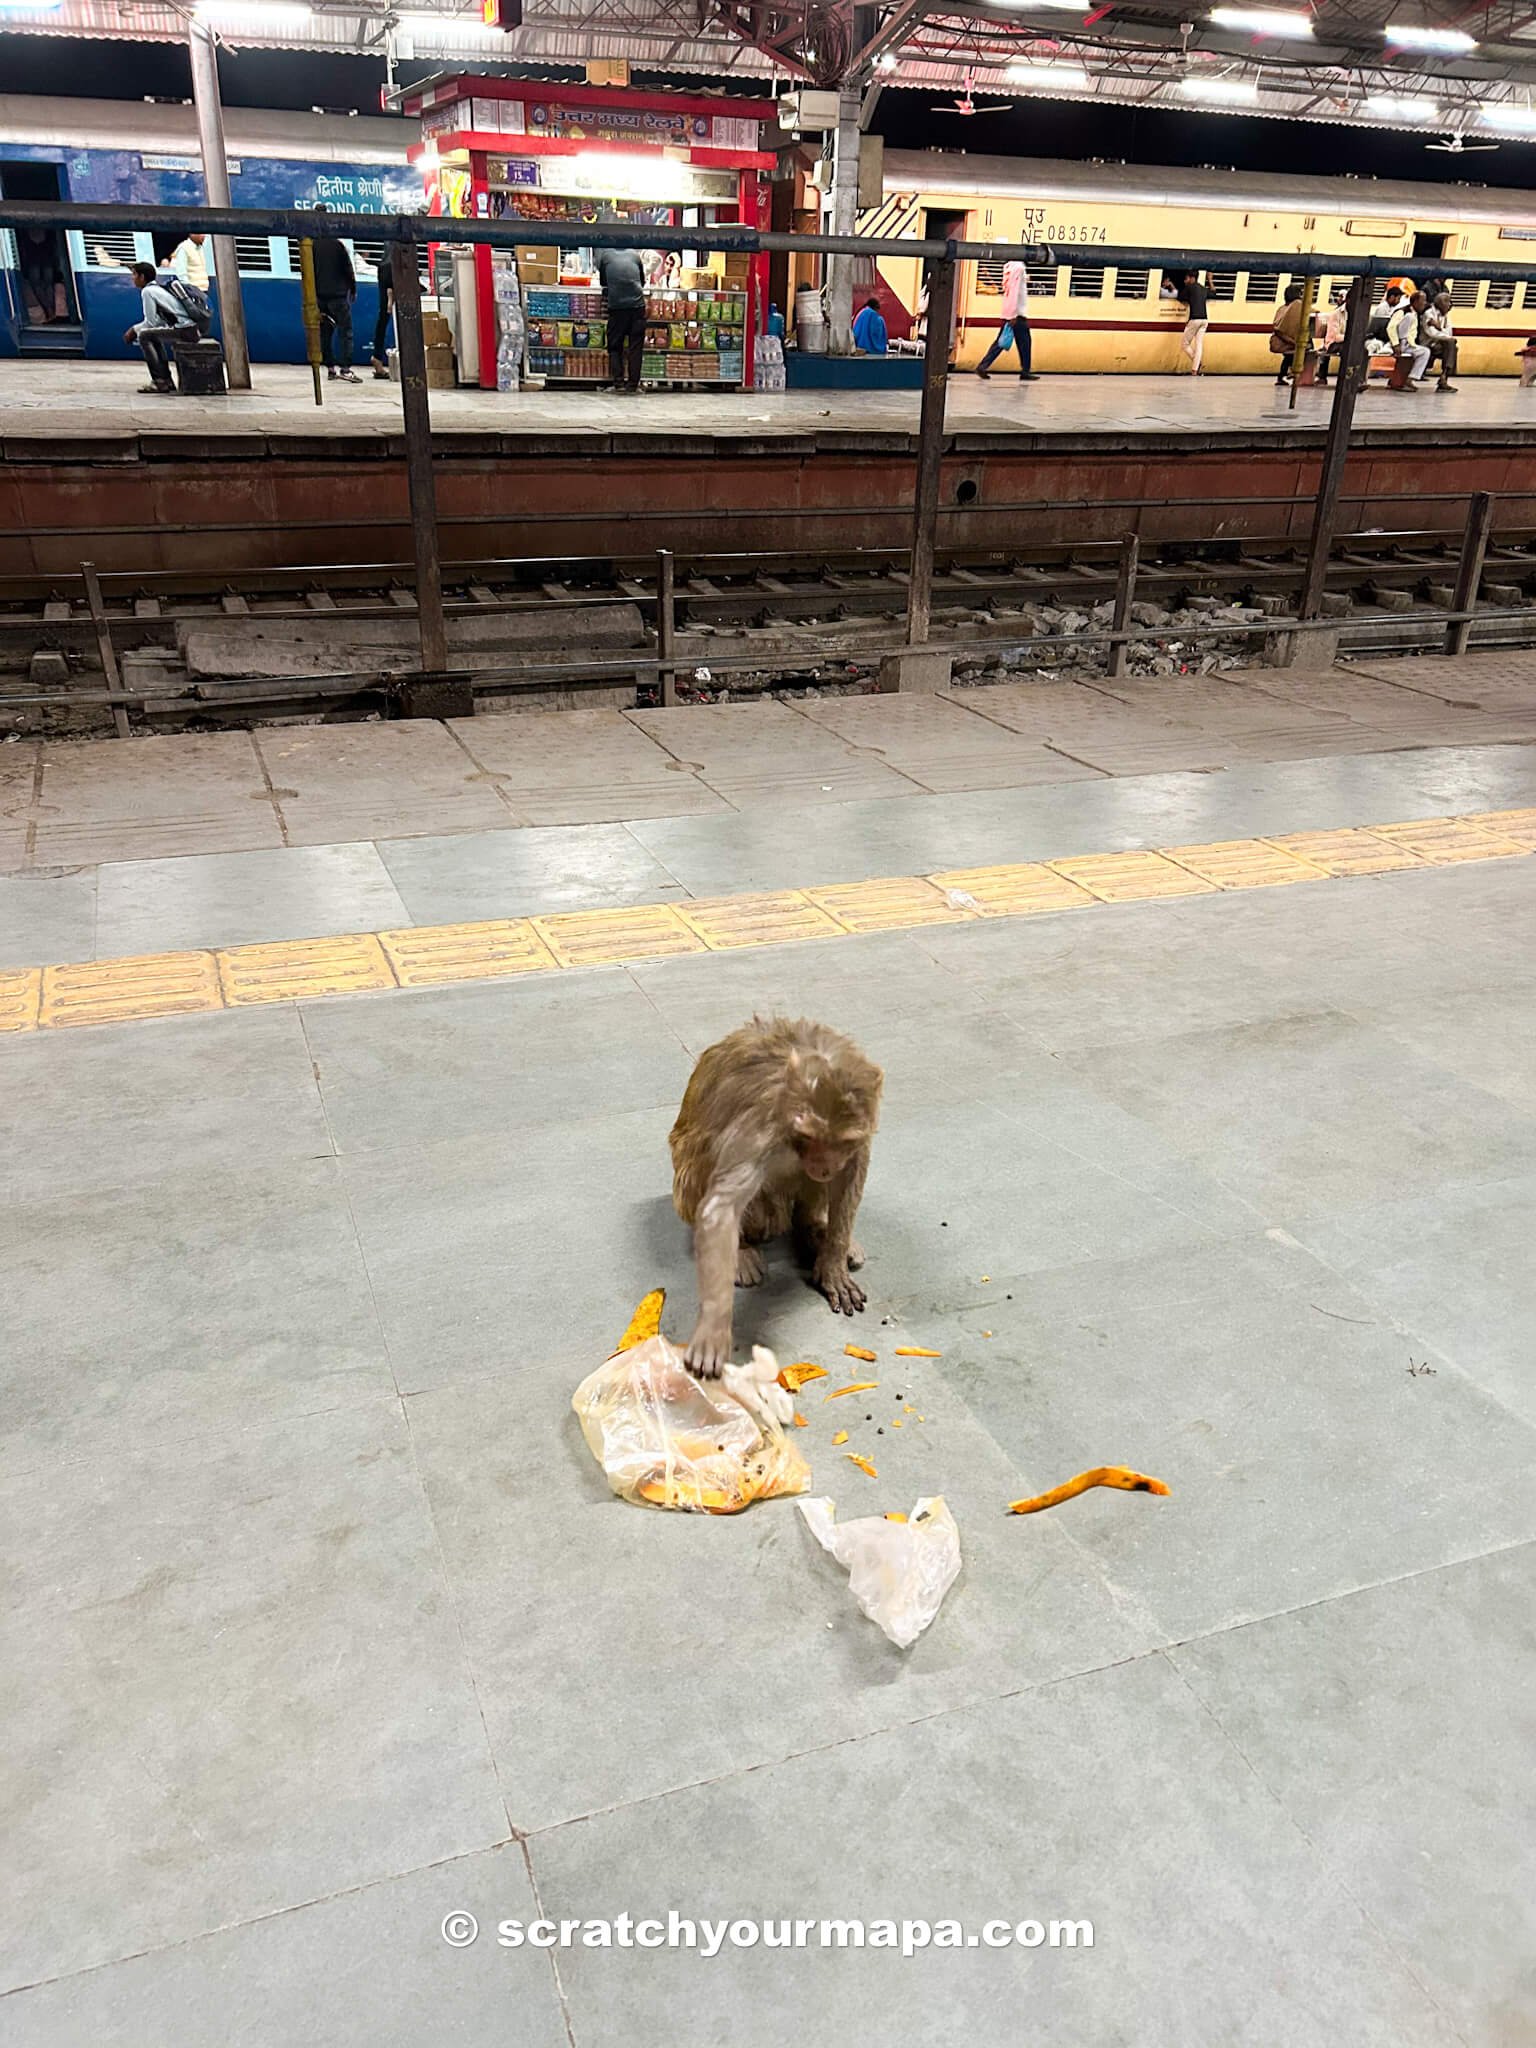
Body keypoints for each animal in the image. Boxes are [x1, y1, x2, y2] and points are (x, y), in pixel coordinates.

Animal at [667, 1011, 884, 1376]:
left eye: (840, 1141)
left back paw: (816, 1230)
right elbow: (721, 1209)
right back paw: (743, 1250)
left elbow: (854, 1164)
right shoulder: (760, 1126)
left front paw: (834, 1261)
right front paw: (713, 1327)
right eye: (810, 1138)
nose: (822, 1166)